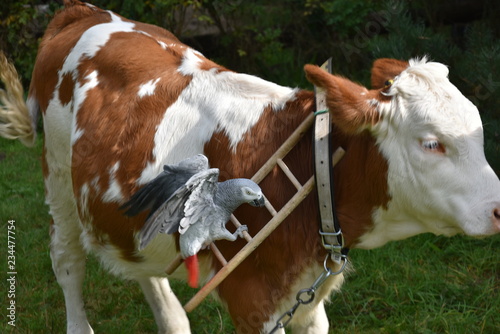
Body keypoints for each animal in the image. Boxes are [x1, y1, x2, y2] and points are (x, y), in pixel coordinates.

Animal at [0, 0, 500, 334]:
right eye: (432, 143)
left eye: (478, 131)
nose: (499, 209)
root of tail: (84, 11)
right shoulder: (252, 299)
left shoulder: (305, 298)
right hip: (58, 181)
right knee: (67, 261)